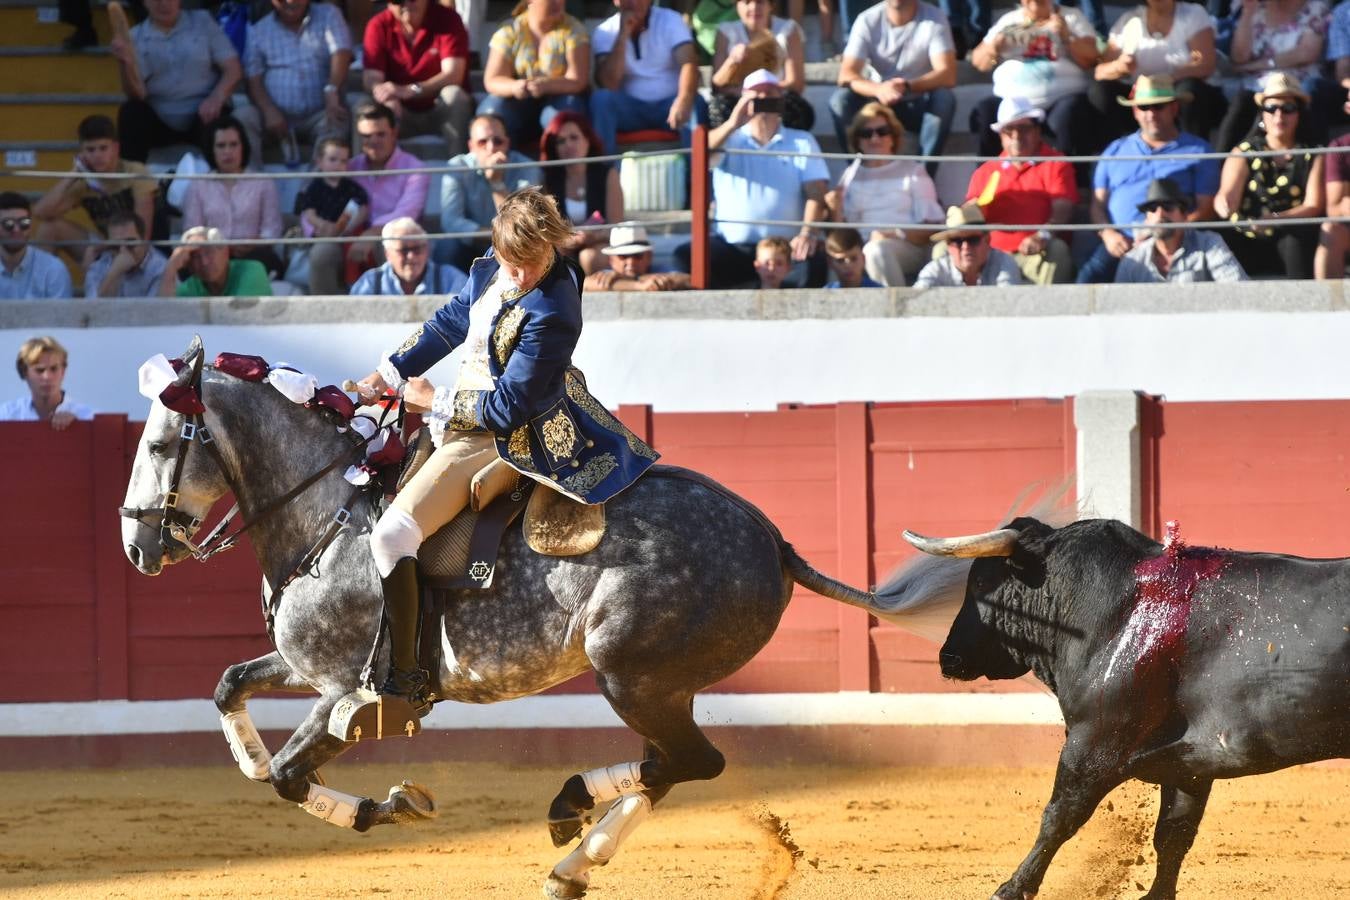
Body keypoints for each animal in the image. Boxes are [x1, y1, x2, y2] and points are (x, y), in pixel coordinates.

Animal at [118, 335, 972, 895]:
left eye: (160, 445)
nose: (135, 546)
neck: (327, 511)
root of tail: (773, 540)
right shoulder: (303, 665)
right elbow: (230, 687)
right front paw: (259, 761)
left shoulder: (344, 695)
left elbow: (293, 777)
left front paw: (393, 805)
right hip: (661, 682)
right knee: (675, 763)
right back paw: (570, 848)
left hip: (630, 674)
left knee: (693, 761)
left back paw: (571, 829)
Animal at [907, 518, 1350, 900]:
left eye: (982, 582)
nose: (948, 656)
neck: (1109, 612)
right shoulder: (1190, 766)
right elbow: (1174, 834)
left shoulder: (1093, 745)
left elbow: (1058, 818)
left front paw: (1011, 888)